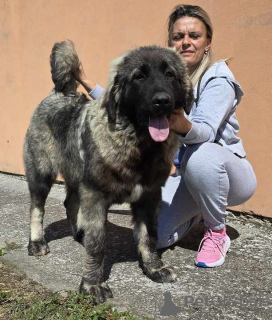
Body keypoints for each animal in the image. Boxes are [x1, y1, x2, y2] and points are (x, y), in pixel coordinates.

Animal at [23, 40, 193, 302]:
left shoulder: (149, 196)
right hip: (42, 174)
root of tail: (59, 93)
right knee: (37, 209)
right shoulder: (96, 195)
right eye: (139, 77)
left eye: (170, 74)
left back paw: (79, 232)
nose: (162, 100)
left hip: (76, 175)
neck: (137, 145)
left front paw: (153, 267)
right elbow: (98, 243)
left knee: (70, 202)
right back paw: (37, 242)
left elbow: (149, 236)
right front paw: (92, 284)